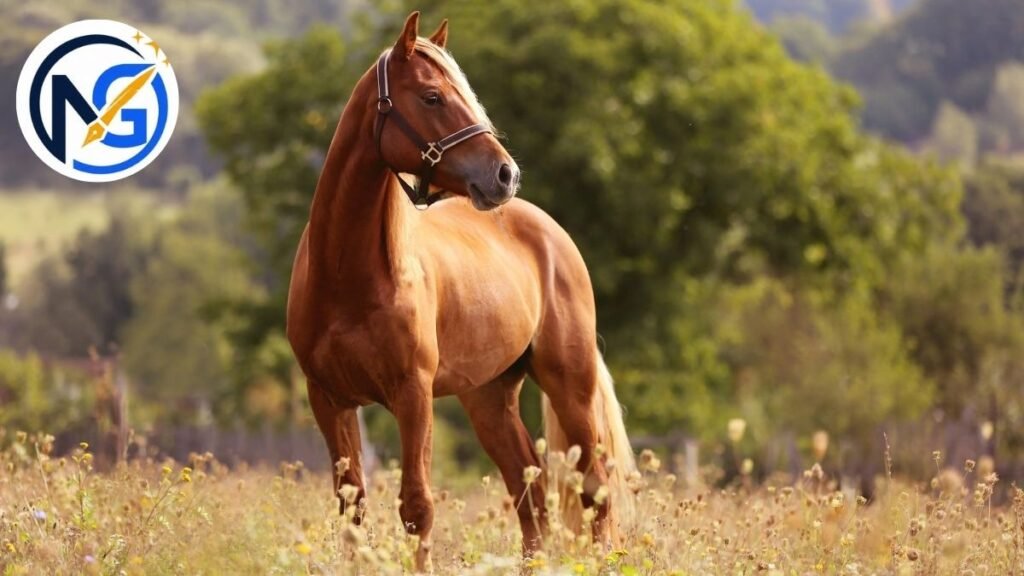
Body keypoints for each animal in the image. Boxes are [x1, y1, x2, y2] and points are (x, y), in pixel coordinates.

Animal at [286, 12, 636, 571]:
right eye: (432, 97)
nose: (505, 174)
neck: (348, 278)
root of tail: (549, 231)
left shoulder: (412, 394)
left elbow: (417, 507)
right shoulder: (329, 398)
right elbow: (352, 510)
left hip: (570, 384)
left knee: (593, 489)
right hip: (489, 398)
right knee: (530, 495)